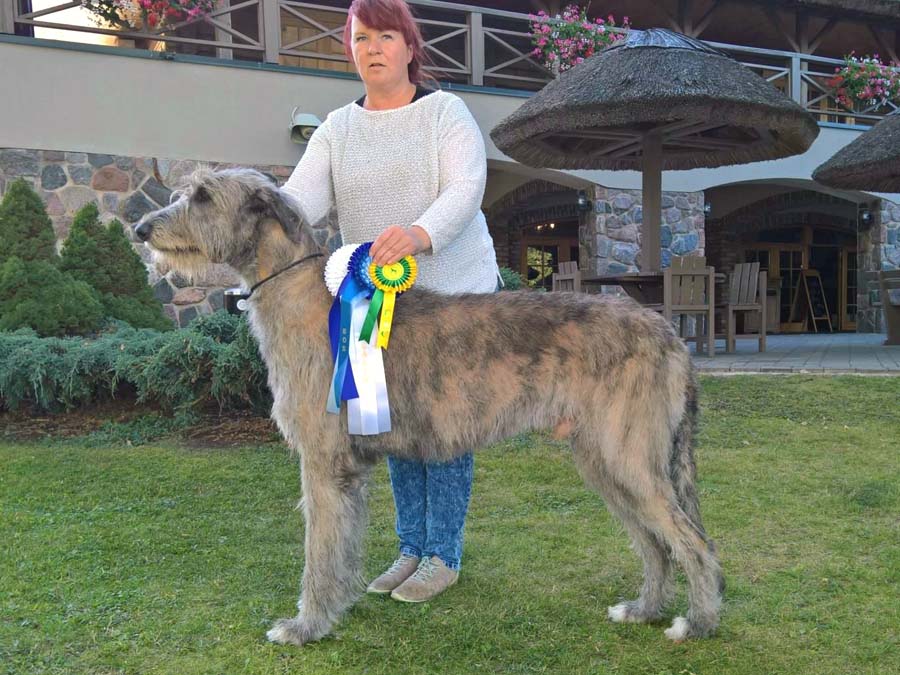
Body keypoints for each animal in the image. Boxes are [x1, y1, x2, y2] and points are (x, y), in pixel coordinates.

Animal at [134, 166, 724, 648]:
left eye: (203, 196)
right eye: (182, 191)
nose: (140, 229)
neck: (305, 296)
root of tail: (669, 334)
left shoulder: (322, 461)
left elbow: (318, 549)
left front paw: (305, 626)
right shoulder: (348, 470)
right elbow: (342, 545)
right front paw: (337, 608)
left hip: (629, 456)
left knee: (692, 541)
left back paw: (696, 622)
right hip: (604, 460)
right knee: (655, 544)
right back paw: (645, 609)